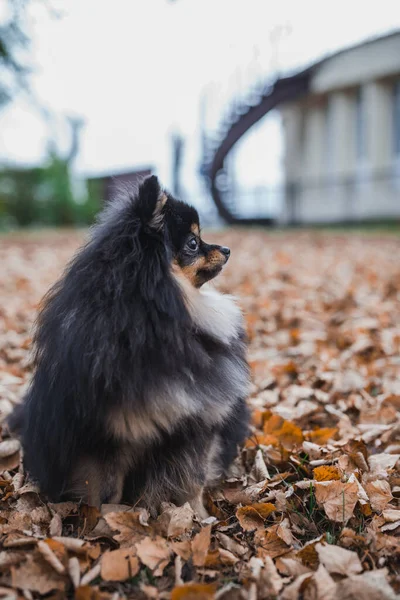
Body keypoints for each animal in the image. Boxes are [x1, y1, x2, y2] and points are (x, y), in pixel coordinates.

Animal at [8, 175, 250, 516]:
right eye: (193, 243)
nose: (227, 249)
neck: (155, 320)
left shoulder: (196, 425)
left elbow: (193, 482)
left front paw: (198, 517)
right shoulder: (109, 437)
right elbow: (106, 492)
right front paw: (103, 523)